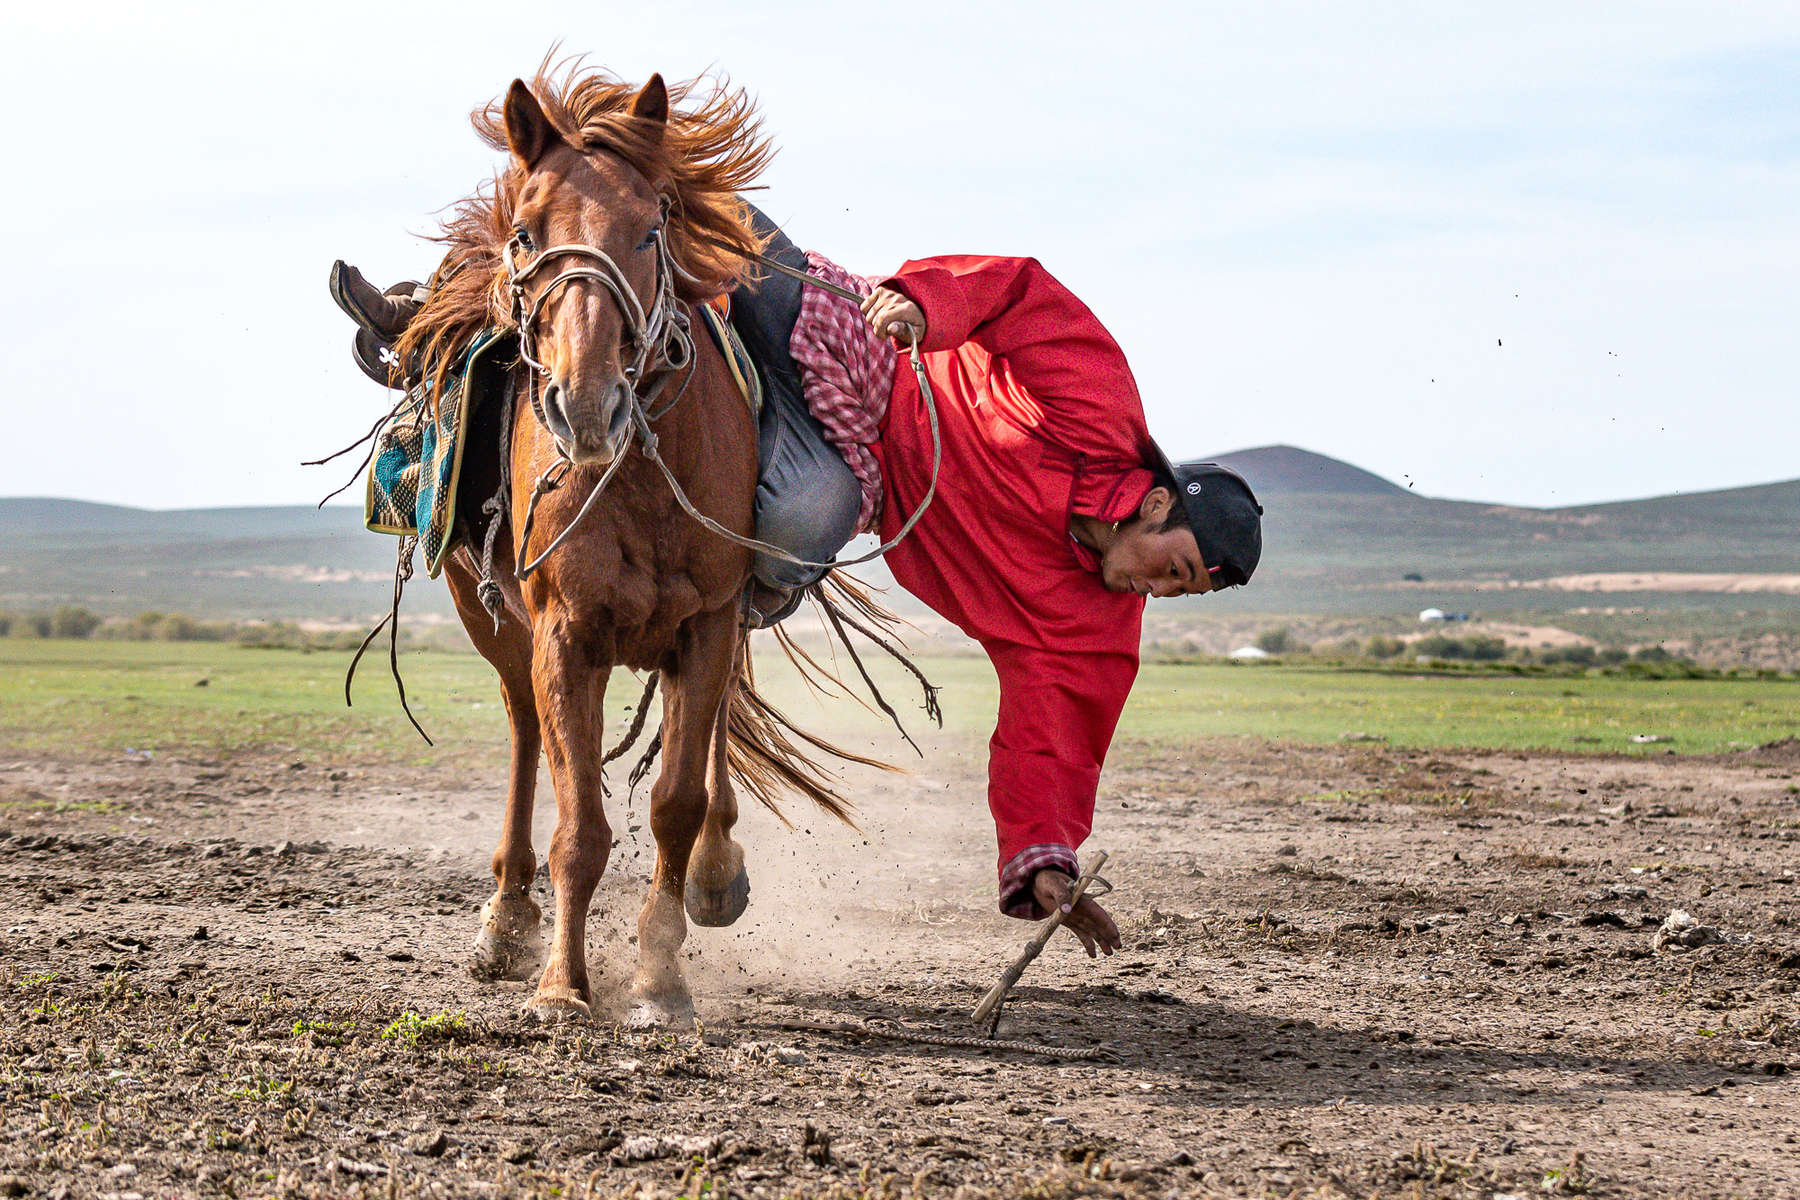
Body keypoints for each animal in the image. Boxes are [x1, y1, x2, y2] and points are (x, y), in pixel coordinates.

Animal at [392, 63, 864, 1021]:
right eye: (526, 231)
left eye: (651, 230)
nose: (586, 404)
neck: (638, 477)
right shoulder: (566, 633)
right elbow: (579, 824)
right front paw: (562, 986)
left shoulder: (708, 624)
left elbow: (676, 801)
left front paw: (660, 973)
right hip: (494, 622)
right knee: (525, 734)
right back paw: (507, 917)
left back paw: (717, 874)